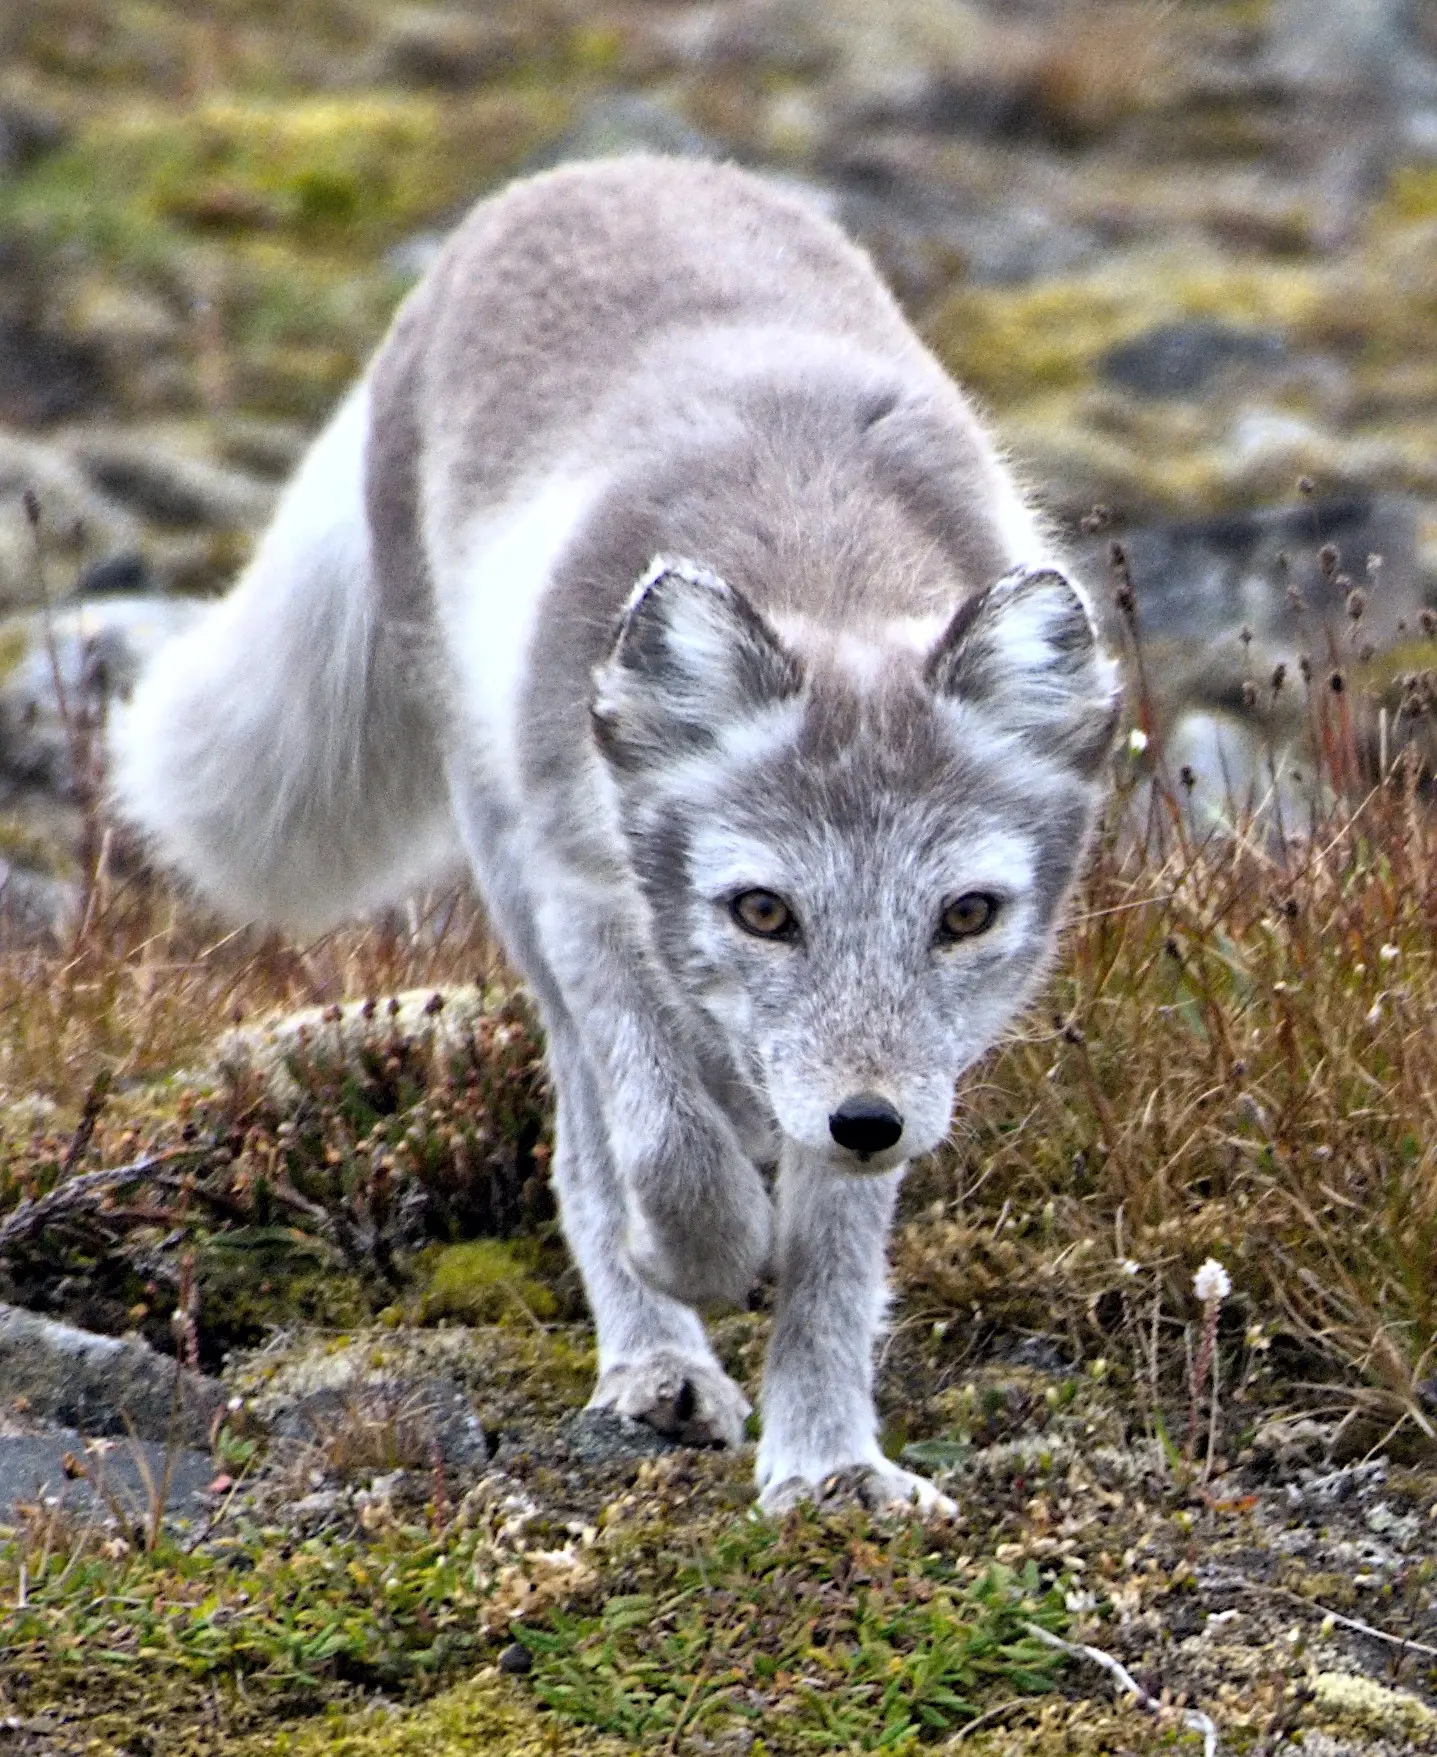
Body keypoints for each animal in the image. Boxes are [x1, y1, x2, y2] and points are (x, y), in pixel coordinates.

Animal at [111, 156, 1119, 1513]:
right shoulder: (587, 893)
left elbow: (835, 1267)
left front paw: (828, 1463)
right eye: (762, 909)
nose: (864, 1121)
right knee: (588, 1139)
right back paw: (657, 1358)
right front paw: (700, 1257)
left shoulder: (893, 1076)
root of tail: (585, 173)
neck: (824, 564)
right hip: (506, 849)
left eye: (966, 914)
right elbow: (668, 1148)